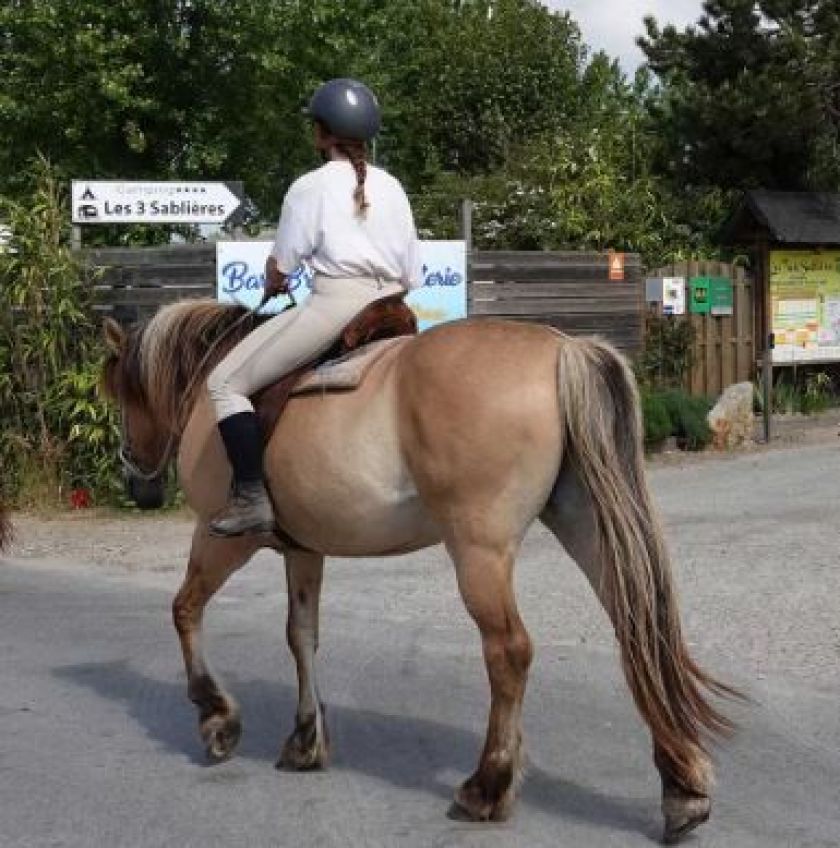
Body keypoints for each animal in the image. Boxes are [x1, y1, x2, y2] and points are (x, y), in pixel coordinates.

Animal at [103, 302, 736, 844]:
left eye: (119, 395)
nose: (136, 479)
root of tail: (562, 349)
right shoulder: (304, 552)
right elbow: (301, 637)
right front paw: (305, 740)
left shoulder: (222, 539)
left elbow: (185, 609)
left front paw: (216, 717)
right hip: (586, 526)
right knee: (639, 630)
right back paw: (681, 790)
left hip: (479, 553)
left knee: (509, 652)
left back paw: (487, 787)